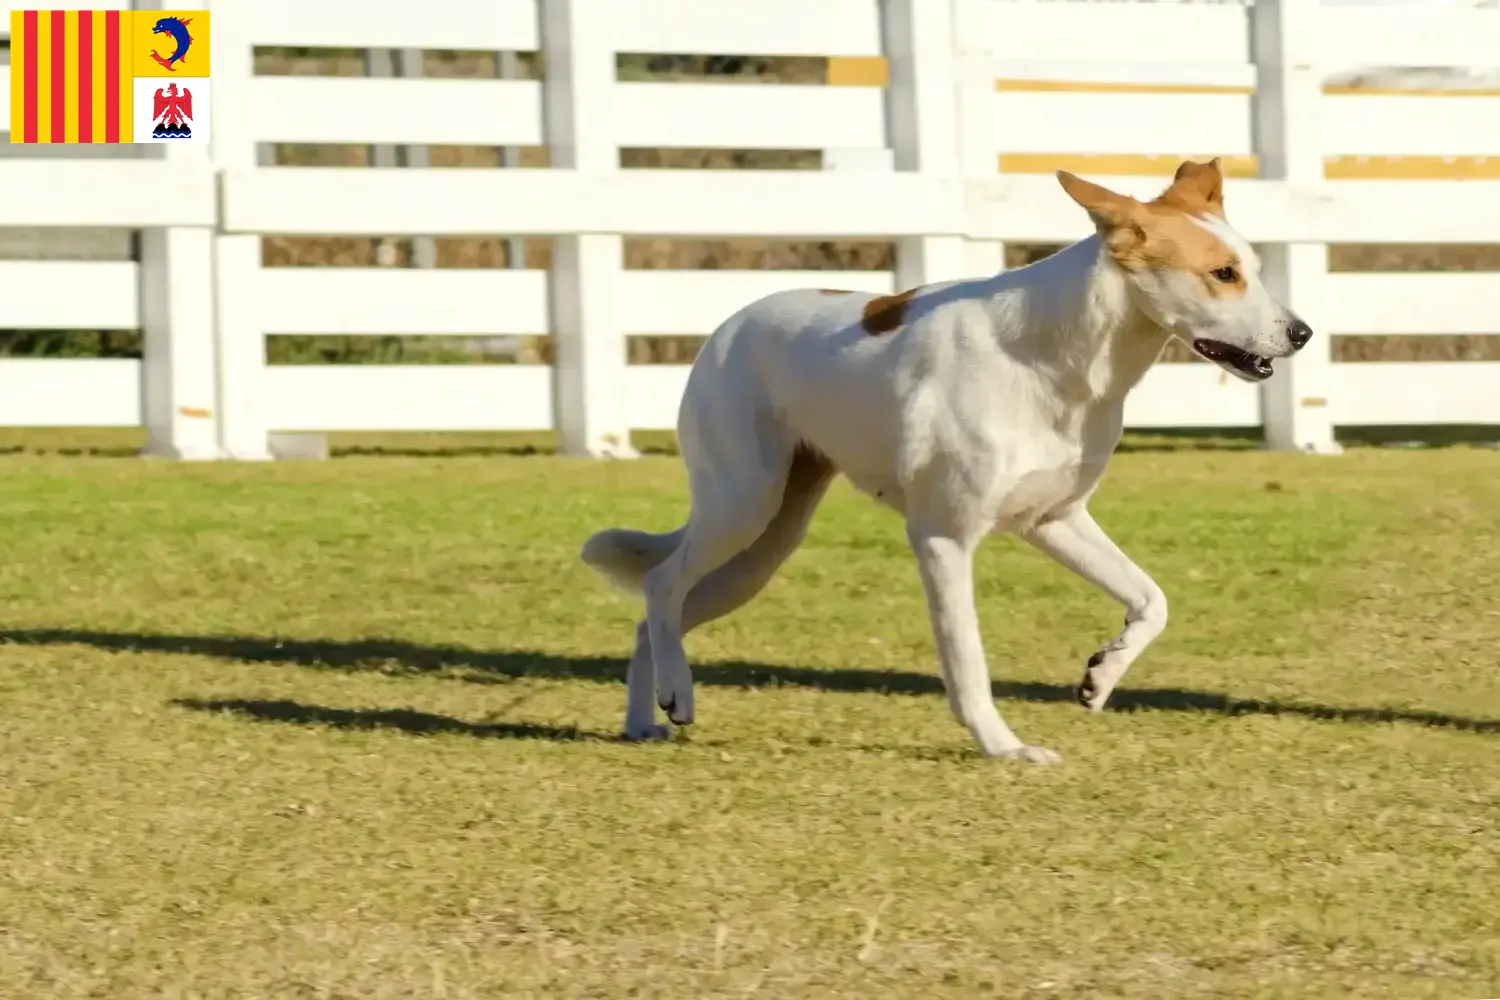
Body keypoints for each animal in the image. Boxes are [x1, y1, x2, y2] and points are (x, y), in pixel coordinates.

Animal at [582, 158, 1314, 767]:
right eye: (1223, 274)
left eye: (1254, 267)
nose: (1302, 333)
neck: (1053, 355)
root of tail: (727, 327)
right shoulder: (942, 539)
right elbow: (968, 661)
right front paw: (1005, 747)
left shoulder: (1055, 519)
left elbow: (1151, 599)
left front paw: (1101, 675)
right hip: (742, 505)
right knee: (661, 585)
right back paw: (677, 693)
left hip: (764, 549)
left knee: (653, 614)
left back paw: (646, 718)